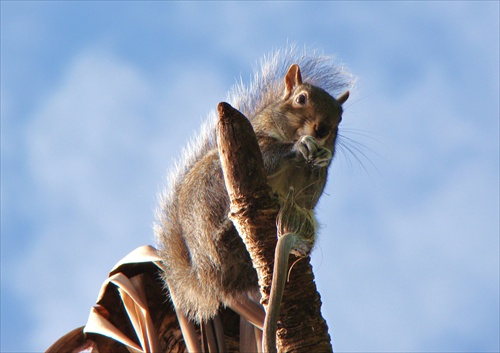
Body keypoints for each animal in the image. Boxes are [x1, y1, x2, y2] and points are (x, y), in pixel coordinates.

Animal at [154, 46, 354, 350]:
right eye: (301, 98)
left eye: (340, 116)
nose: (322, 129)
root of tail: (207, 279)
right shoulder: (258, 142)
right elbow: (270, 155)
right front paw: (298, 147)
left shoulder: (308, 191)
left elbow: (309, 194)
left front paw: (319, 159)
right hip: (214, 184)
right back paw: (225, 228)